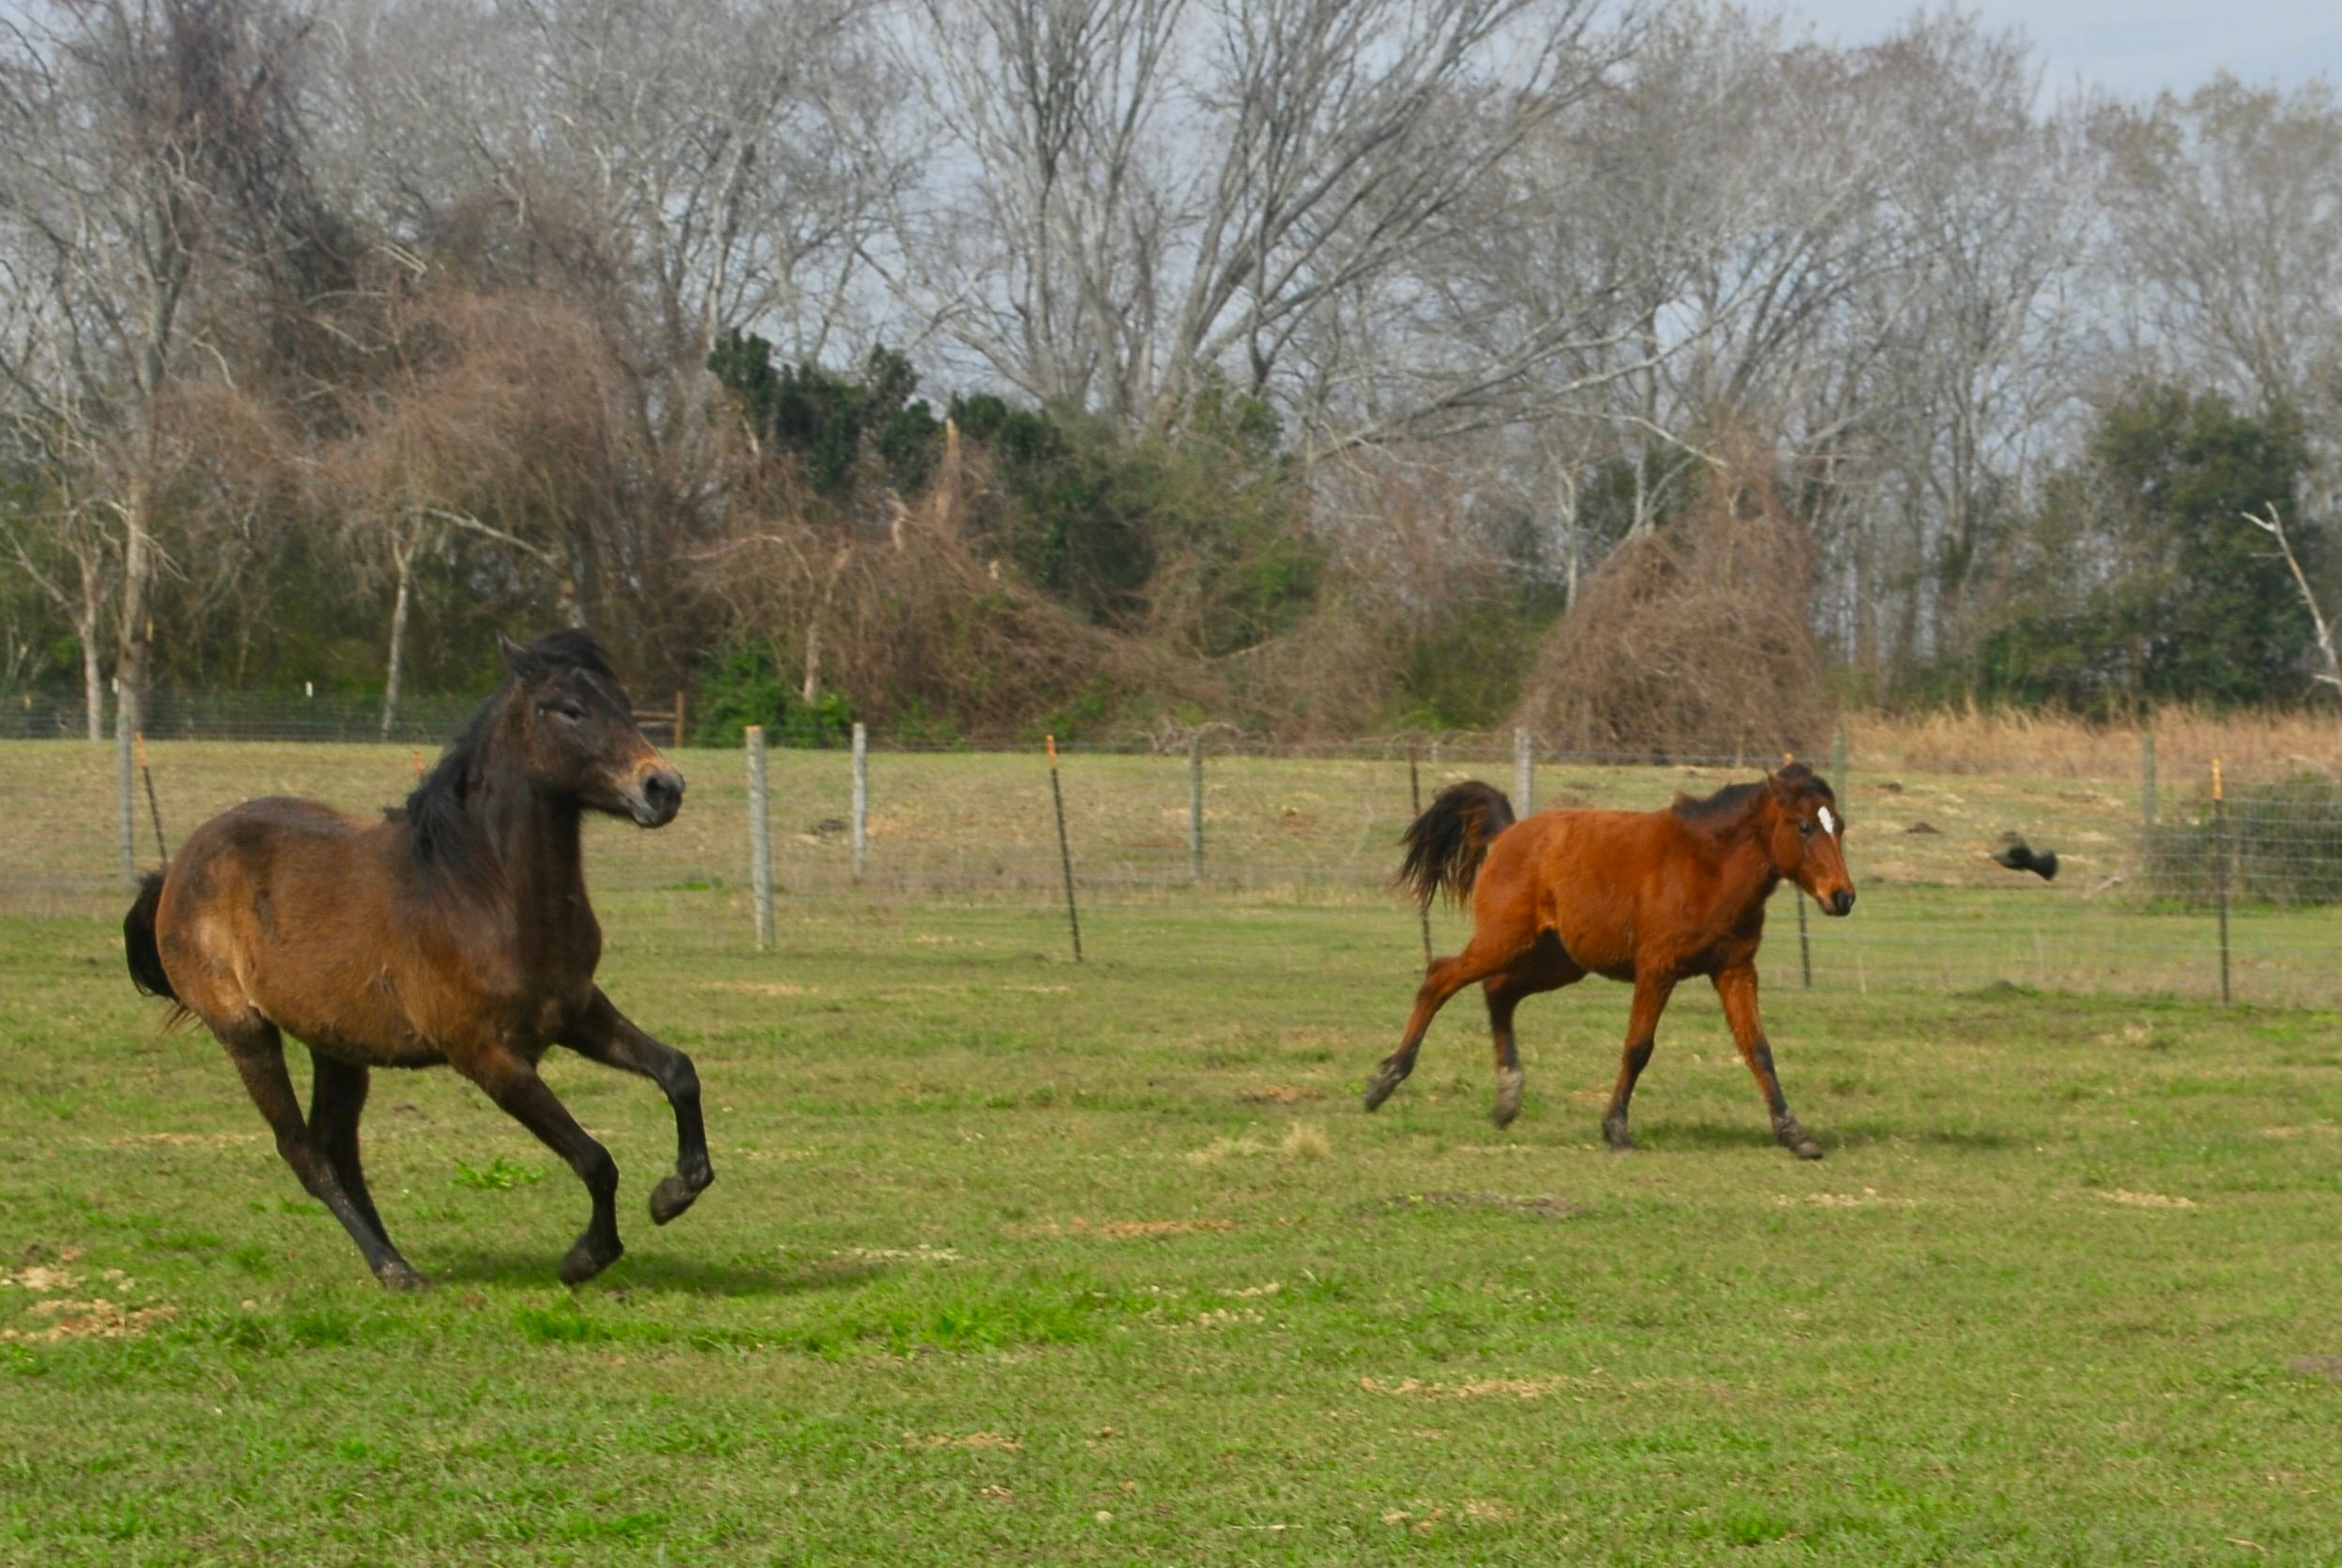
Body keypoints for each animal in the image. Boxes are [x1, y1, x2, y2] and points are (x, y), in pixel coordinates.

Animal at [122, 630, 710, 1288]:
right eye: (570, 709)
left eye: (625, 704)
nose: (663, 787)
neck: (478, 893)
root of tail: (176, 868)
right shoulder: (489, 1059)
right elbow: (595, 1157)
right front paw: (587, 1256)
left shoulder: (578, 1010)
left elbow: (678, 1071)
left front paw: (676, 1192)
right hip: (245, 1034)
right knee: (305, 1153)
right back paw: (393, 1270)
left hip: (336, 1046)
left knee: (336, 1147)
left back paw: (395, 1259)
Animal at [1363, 763, 1856, 1159]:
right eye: (1804, 826)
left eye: (1840, 826)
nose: (1843, 897)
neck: (1709, 867)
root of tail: (1506, 834)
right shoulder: (1657, 969)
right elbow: (1638, 1047)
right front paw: (1616, 1129)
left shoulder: (1734, 970)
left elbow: (1758, 1049)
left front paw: (1794, 1134)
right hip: (1502, 941)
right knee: (1441, 976)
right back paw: (1384, 1081)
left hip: (1558, 962)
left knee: (1498, 991)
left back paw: (1506, 1098)